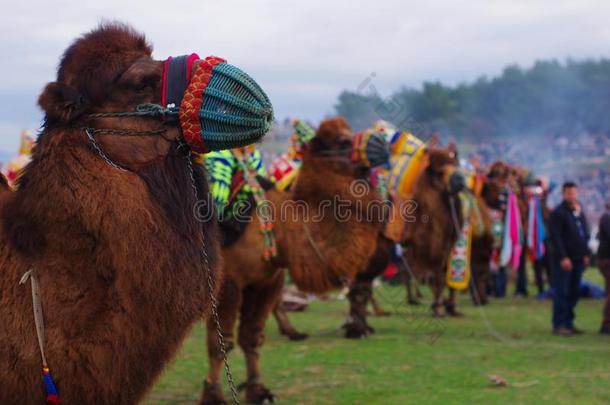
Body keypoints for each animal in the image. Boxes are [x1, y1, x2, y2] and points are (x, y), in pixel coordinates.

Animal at [202, 116, 382, 400]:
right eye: (343, 141)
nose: (380, 142)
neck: (278, 225)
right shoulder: (228, 280)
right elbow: (221, 341)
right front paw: (213, 395)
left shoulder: (266, 281)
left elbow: (251, 337)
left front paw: (258, 391)